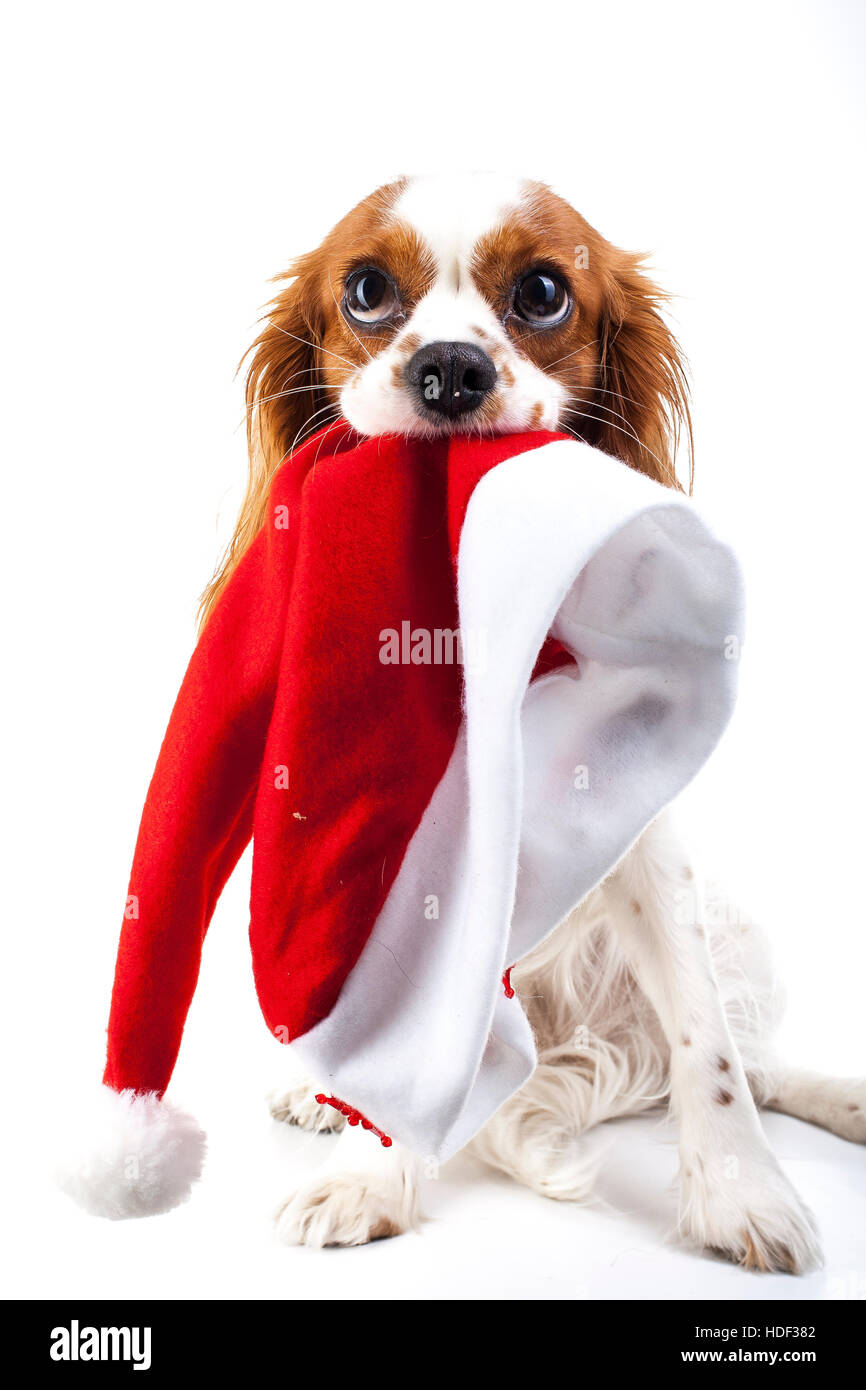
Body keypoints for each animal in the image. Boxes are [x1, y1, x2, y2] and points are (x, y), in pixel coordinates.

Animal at [201, 170, 861, 1273]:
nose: (449, 369)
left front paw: (741, 1192)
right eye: (367, 290)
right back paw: (321, 1091)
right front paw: (370, 1174)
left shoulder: (648, 841)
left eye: (544, 293)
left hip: (742, 937)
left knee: (761, 1062)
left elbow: (709, 1046)